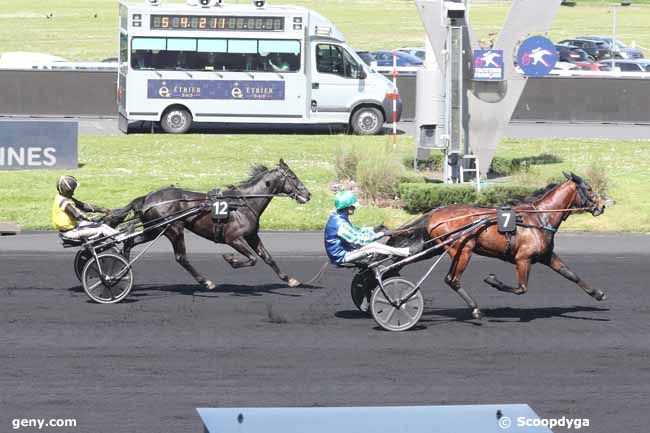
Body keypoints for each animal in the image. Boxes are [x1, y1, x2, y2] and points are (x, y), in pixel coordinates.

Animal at [107, 158, 310, 286]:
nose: (308, 194)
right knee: (181, 258)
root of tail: (147, 198)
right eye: (293, 176)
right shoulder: (233, 238)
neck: (243, 203)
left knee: (129, 242)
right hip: (173, 228)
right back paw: (205, 281)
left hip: (154, 229)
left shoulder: (252, 235)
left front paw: (289, 279)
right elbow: (252, 258)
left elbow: (267, 258)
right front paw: (230, 259)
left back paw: (121, 272)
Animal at [390, 173, 608, 320]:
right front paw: (492, 280)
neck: (539, 218)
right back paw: (475, 309)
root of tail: (435, 213)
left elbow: (571, 275)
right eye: (589, 189)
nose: (602, 206)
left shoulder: (546, 256)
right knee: (452, 279)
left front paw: (597, 293)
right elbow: (521, 288)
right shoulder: (523, 259)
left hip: (436, 248)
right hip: (462, 249)